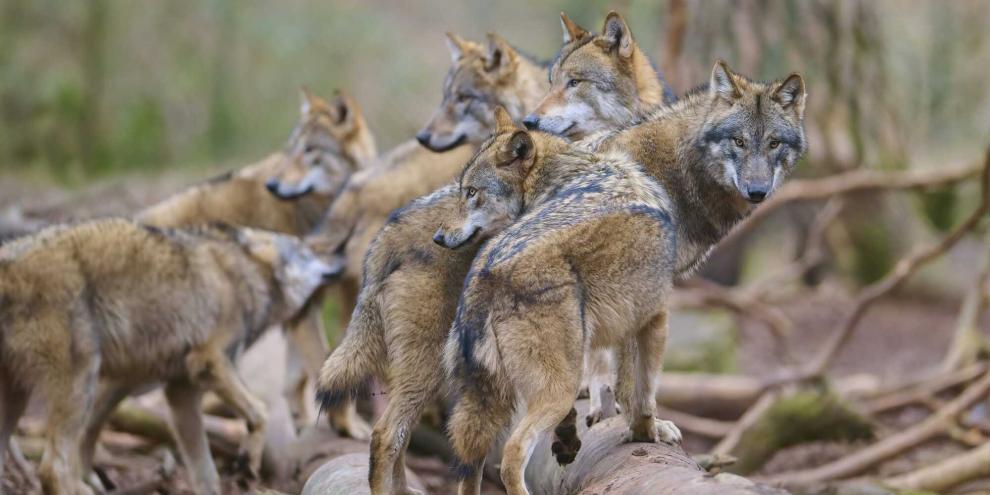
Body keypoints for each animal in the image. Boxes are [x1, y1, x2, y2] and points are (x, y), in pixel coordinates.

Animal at [0, 219, 340, 495]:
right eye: (305, 251)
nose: (338, 256)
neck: (243, 275)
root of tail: (9, 263)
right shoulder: (207, 361)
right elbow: (260, 411)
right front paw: (247, 461)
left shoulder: (173, 390)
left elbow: (205, 473)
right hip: (77, 385)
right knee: (51, 470)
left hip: (28, 396)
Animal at [443, 60, 807, 495]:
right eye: (737, 141)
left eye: (773, 144)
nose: (757, 190)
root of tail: (487, 275)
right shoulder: (651, 307)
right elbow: (638, 383)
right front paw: (643, 426)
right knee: (512, 454)